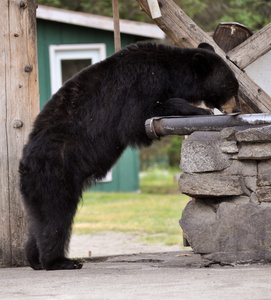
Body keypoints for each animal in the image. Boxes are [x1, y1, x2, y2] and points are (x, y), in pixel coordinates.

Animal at [19, 41, 240, 270]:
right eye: (232, 87)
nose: (237, 108)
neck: (169, 72)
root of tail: (24, 162)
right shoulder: (141, 83)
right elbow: (136, 119)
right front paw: (198, 110)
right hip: (57, 169)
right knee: (56, 213)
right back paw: (60, 261)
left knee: (41, 218)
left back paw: (35, 259)